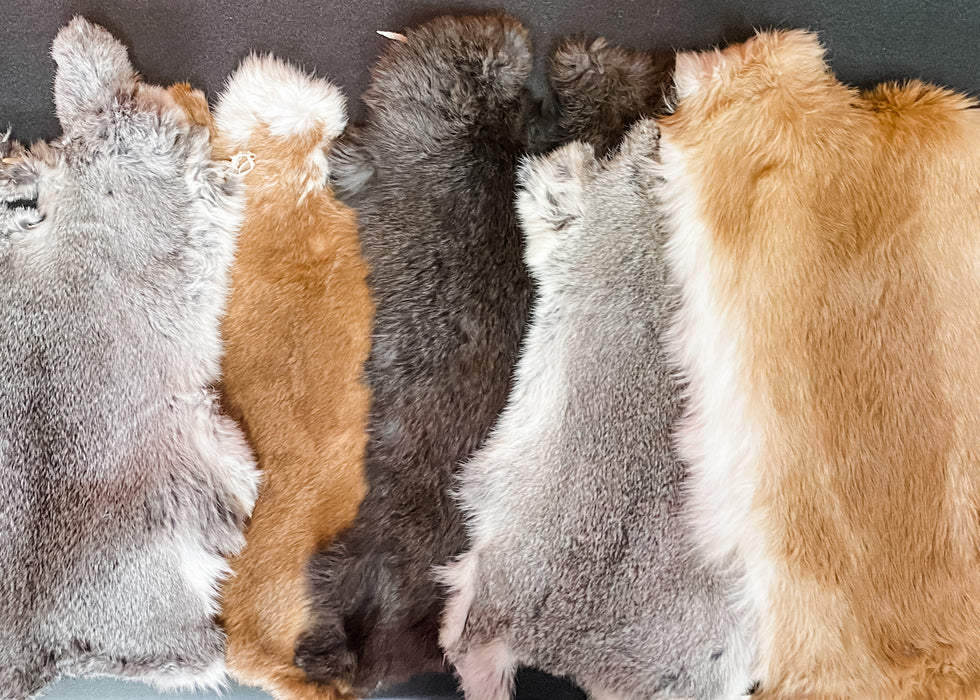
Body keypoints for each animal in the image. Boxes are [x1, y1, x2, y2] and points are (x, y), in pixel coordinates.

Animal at [292, 14, 535, 695]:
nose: (505, 26)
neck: (477, 125)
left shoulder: (383, 166)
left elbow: (357, 168)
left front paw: (336, 152)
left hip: (361, 550)